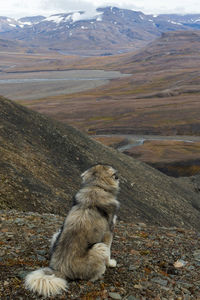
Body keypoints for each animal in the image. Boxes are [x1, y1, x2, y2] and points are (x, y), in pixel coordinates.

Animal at [24, 164, 119, 298]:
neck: (96, 186)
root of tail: (60, 269)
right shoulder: (108, 232)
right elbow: (109, 249)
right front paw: (110, 263)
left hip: (57, 233)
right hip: (99, 247)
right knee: (92, 275)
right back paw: (101, 271)